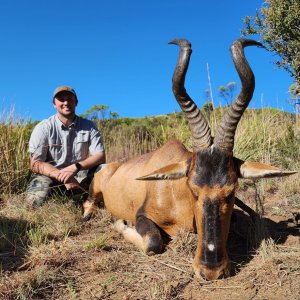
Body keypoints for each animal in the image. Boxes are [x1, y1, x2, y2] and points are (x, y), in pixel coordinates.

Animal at [83, 38, 296, 280]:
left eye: (232, 190)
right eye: (193, 188)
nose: (211, 271)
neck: (177, 196)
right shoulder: (142, 215)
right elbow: (152, 243)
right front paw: (120, 223)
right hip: (95, 190)